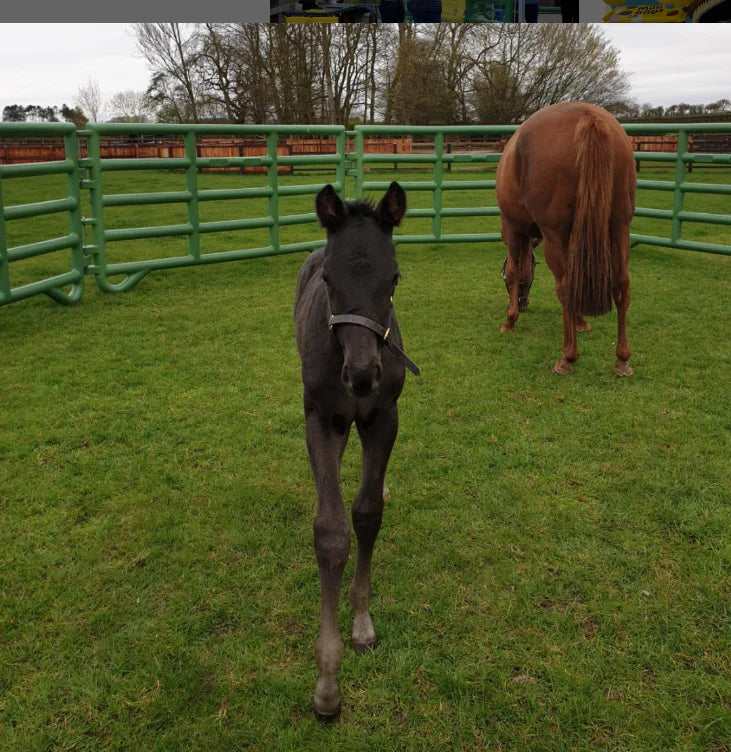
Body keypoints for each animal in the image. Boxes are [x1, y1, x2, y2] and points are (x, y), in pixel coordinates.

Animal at [496, 101, 637, 376]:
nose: (524, 304)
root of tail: (589, 118)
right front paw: (580, 321)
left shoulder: (513, 228)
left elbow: (516, 271)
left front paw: (510, 319)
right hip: (619, 227)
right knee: (621, 284)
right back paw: (622, 359)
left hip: (554, 234)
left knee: (565, 285)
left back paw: (567, 358)